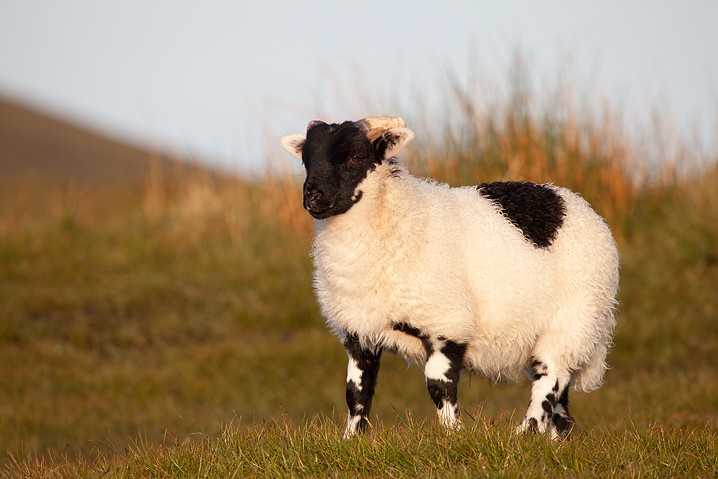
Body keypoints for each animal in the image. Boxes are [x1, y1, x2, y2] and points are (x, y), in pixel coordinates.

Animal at [280, 116, 620, 438]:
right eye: (306, 160)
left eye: (353, 157)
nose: (313, 196)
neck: (398, 216)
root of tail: (573, 201)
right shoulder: (359, 332)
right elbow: (356, 392)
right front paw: (352, 439)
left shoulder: (445, 325)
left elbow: (439, 386)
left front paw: (452, 435)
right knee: (562, 406)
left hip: (572, 322)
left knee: (550, 380)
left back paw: (526, 433)